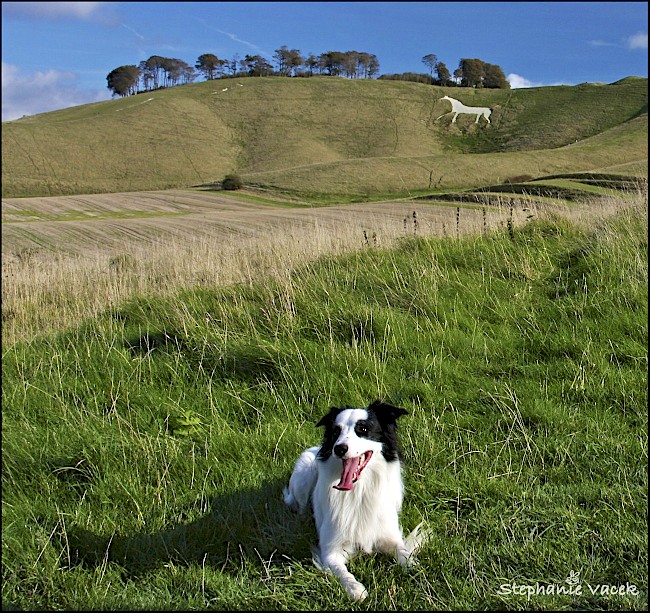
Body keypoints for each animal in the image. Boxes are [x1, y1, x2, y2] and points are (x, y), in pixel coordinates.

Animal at [280, 400, 422, 600]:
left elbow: (404, 553)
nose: (339, 448)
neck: (359, 491)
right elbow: (342, 572)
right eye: (335, 431)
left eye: (363, 429)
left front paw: (415, 568)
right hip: (304, 473)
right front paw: (355, 589)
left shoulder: (390, 536)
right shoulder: (330, 550)